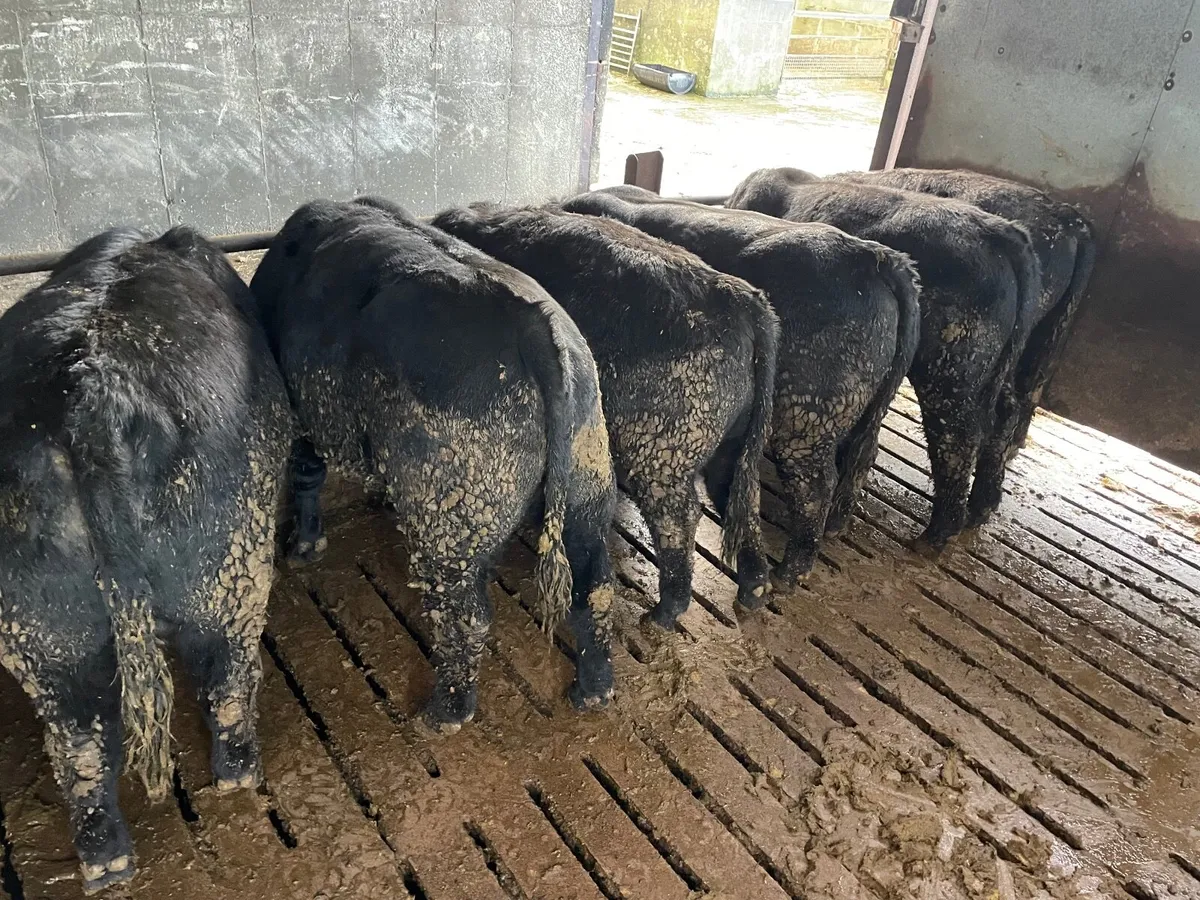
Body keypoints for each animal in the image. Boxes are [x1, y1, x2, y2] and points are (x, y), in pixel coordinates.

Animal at [0, 226, 292, 892]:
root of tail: (88, 396)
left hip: (43, 631)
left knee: (81, 742)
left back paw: (110, 860)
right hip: (225, 574)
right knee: (222, 682)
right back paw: (232, 781)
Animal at [249, 197, 617, 730]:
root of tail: (535, 329)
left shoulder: (301, 412)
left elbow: (306, 474)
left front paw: (304, 545)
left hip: (450, 520)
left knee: (465, 614)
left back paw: (445, 712)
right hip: (589, 483)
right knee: (596, 588)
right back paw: (594, 688)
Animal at [432, 202, 779, 626]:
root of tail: (748, 303)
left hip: (665, 446)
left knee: (683, 515)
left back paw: (661, 615)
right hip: (738, 436)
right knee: (741, 492)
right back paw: (754, 592)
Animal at [562, 186, 921, 587]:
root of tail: (877, 258)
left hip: (809, 411)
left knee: (816, 483)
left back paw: (788, 575)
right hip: (867, 404)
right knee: (861, 454)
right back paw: (830, 532)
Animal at [726, 168, 1041, 554]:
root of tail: (1001, 231)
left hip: (951, 369)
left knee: (959, 435)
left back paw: (935, 537)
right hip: (995, 366)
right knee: (1004, 413)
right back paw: (981, 509)